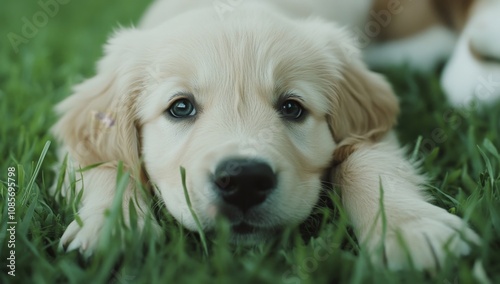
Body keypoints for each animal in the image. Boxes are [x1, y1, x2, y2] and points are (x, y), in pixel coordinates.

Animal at [52, 0, 478, 270]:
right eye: (180, 107)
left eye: (292, 107)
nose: (243, 180)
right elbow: (108, 162)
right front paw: (113, 228)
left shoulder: (370, 131)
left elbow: (370, 165)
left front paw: (413, 230)